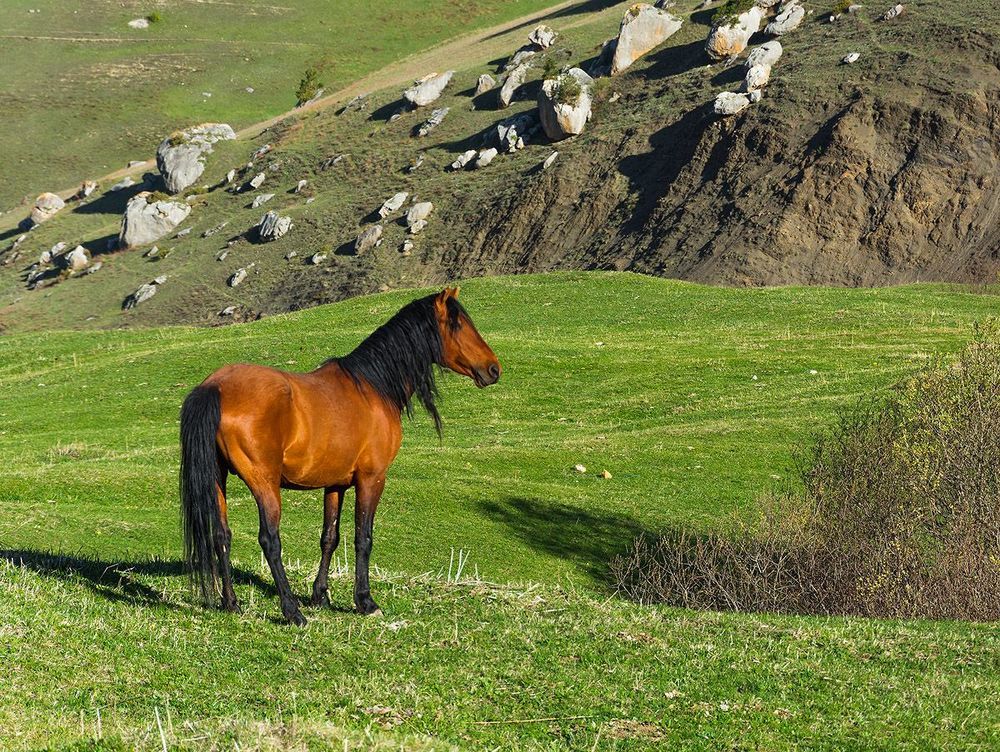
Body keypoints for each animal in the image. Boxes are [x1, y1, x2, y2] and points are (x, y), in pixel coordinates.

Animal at [179, 287, 501, 625]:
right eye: (458, 324)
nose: (494, 369)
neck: (373, 388)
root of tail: (215, 387)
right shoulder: (372, 479)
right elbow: (363, 538)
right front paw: (365, 601)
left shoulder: (335, 484)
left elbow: (329, 537)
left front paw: (320, 595)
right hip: (264, 483)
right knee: (270, 540)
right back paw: (292, 611)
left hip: (217, 478)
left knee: (221, 535)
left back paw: (232, 604)